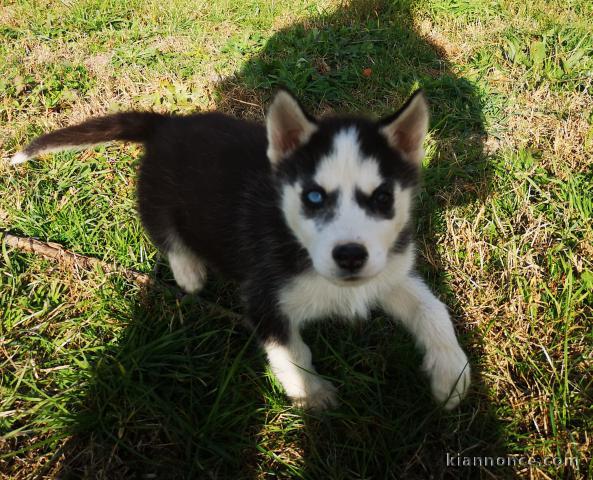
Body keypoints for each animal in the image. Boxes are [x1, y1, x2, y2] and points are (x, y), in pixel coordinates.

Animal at [9, 92, 470, 410]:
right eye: (314, 196)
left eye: (382, 198)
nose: (351, 256)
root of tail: (166, 124)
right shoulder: (263, 297)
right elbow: (292, 350)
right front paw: (312, 393)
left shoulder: (390, 271)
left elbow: (433, 309)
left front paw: (452, 371)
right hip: (159, 199)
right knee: (164, 232)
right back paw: (189, 271)